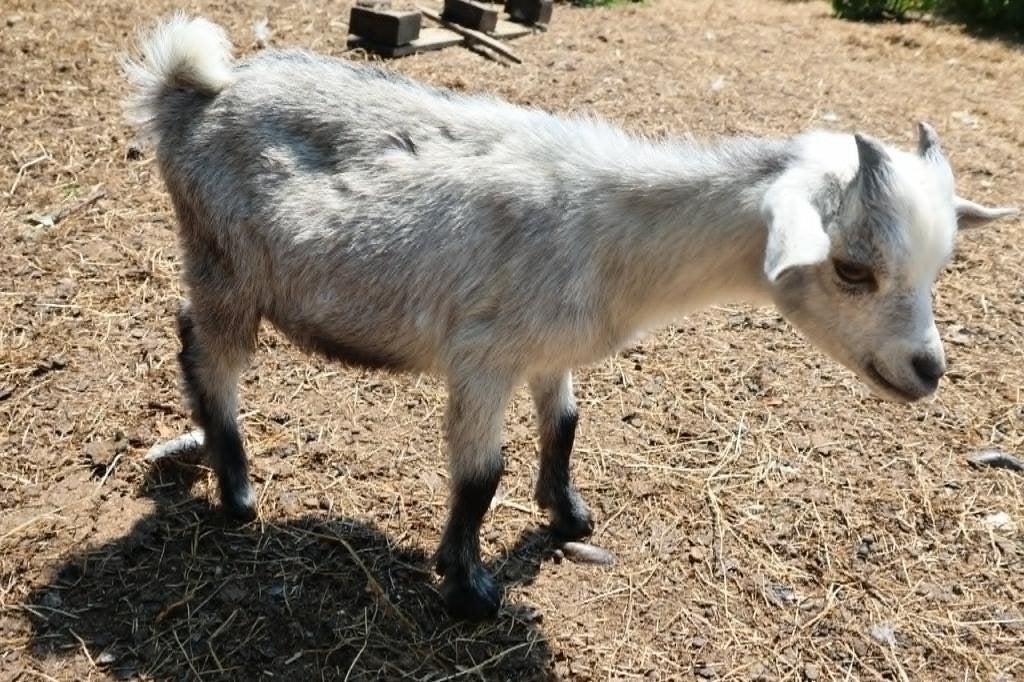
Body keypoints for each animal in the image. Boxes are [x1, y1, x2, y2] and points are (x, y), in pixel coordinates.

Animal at [123, 14, 1017, 621]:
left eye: (939, 265)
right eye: (852, 269)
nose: (927, 371)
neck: (610, 229)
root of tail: (192, 91)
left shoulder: (551, 350)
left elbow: (564, 426)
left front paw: (568, 514)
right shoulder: (482, 357)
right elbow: (480, 476)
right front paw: (470, 586)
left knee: (186, 332)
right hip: (228, 267)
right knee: (209, 355)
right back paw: (238, 491)